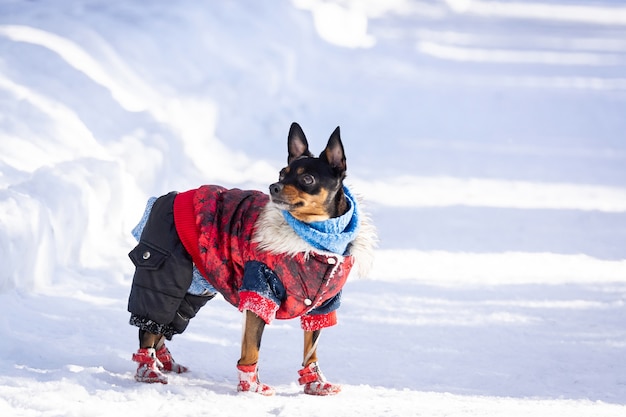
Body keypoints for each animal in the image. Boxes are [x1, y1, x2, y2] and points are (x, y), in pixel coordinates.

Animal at [124, 122, 372, 394]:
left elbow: (311, 350)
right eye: (282, 174)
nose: (274, 186)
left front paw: (315, 383)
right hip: (164, 272)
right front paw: (251, 387)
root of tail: (169, 197)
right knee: (150, 325)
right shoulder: (260, 292)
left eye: (308, 179)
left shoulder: (321, 306)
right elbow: (252, 347)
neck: (315, 240)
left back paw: (165, 362)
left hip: (195, 288)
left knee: (165, 324)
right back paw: (148, 369)